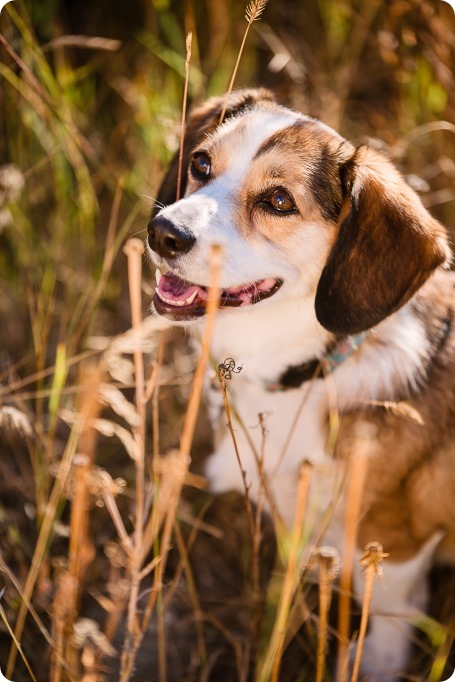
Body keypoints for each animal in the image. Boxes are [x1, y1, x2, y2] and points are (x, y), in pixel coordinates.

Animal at [147, 90, 455, 680]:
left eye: (278, 200)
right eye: (201, 164)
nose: (163, 233)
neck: (309, 369)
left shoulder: (397, 532)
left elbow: (390, 603)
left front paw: (377, 662)